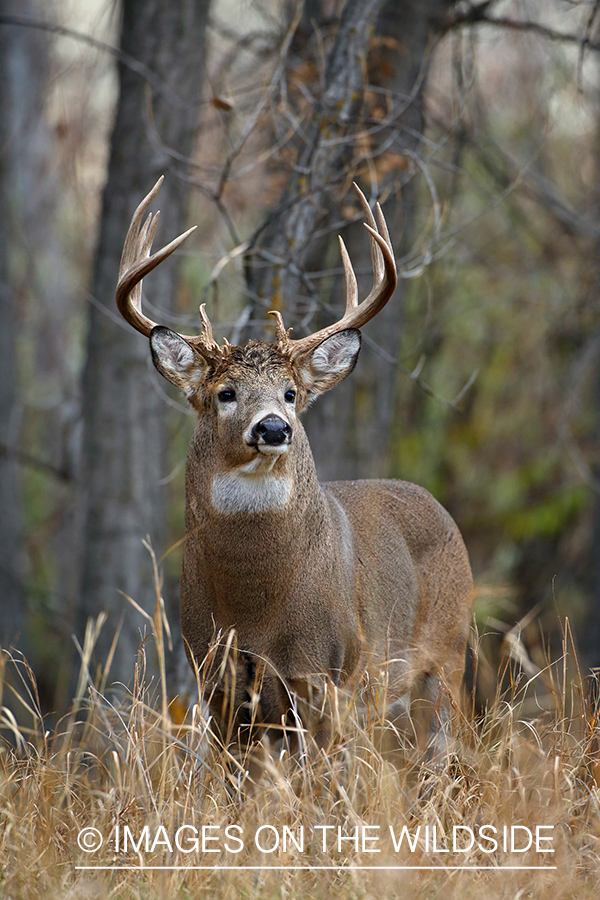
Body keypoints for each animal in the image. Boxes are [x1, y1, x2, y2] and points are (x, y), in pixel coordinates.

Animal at [116, 176, 474, 772]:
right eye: (225, 393)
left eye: (290, 393)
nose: (273, 427)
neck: (256, 605)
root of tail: (440, 508)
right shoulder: (216, 682)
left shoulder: (326, 674)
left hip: (448, 657)